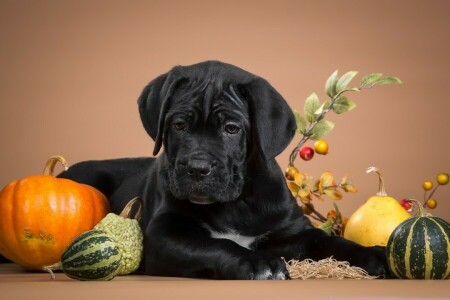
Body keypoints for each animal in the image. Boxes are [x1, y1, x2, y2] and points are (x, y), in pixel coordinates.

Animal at [58, 60, 388, 278]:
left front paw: (375, 254)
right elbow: (215, 245)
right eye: (179, 125)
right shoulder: (165, 234)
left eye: (231, 128)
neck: (236, 203)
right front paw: (259, 262)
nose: (197, 169)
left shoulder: (294, 233)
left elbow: (332, 241)